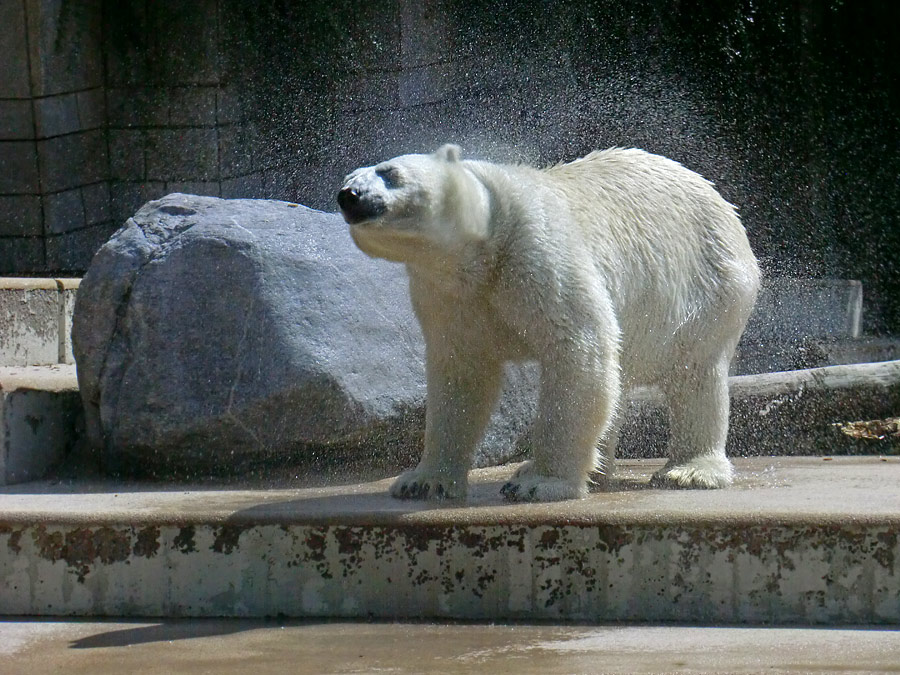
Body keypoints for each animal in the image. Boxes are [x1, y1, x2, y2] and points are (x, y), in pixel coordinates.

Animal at [338, 144, 760, 502]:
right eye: (347, 178)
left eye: (388, 172)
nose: (350, 196)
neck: (482, 251)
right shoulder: (447, 294)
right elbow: (461, 374)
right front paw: (423, 481)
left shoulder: (535, 249)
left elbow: (577, 350)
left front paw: (541, 482)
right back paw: (594, 469)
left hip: (707, 287)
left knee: (694, 374)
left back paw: (689, 472)